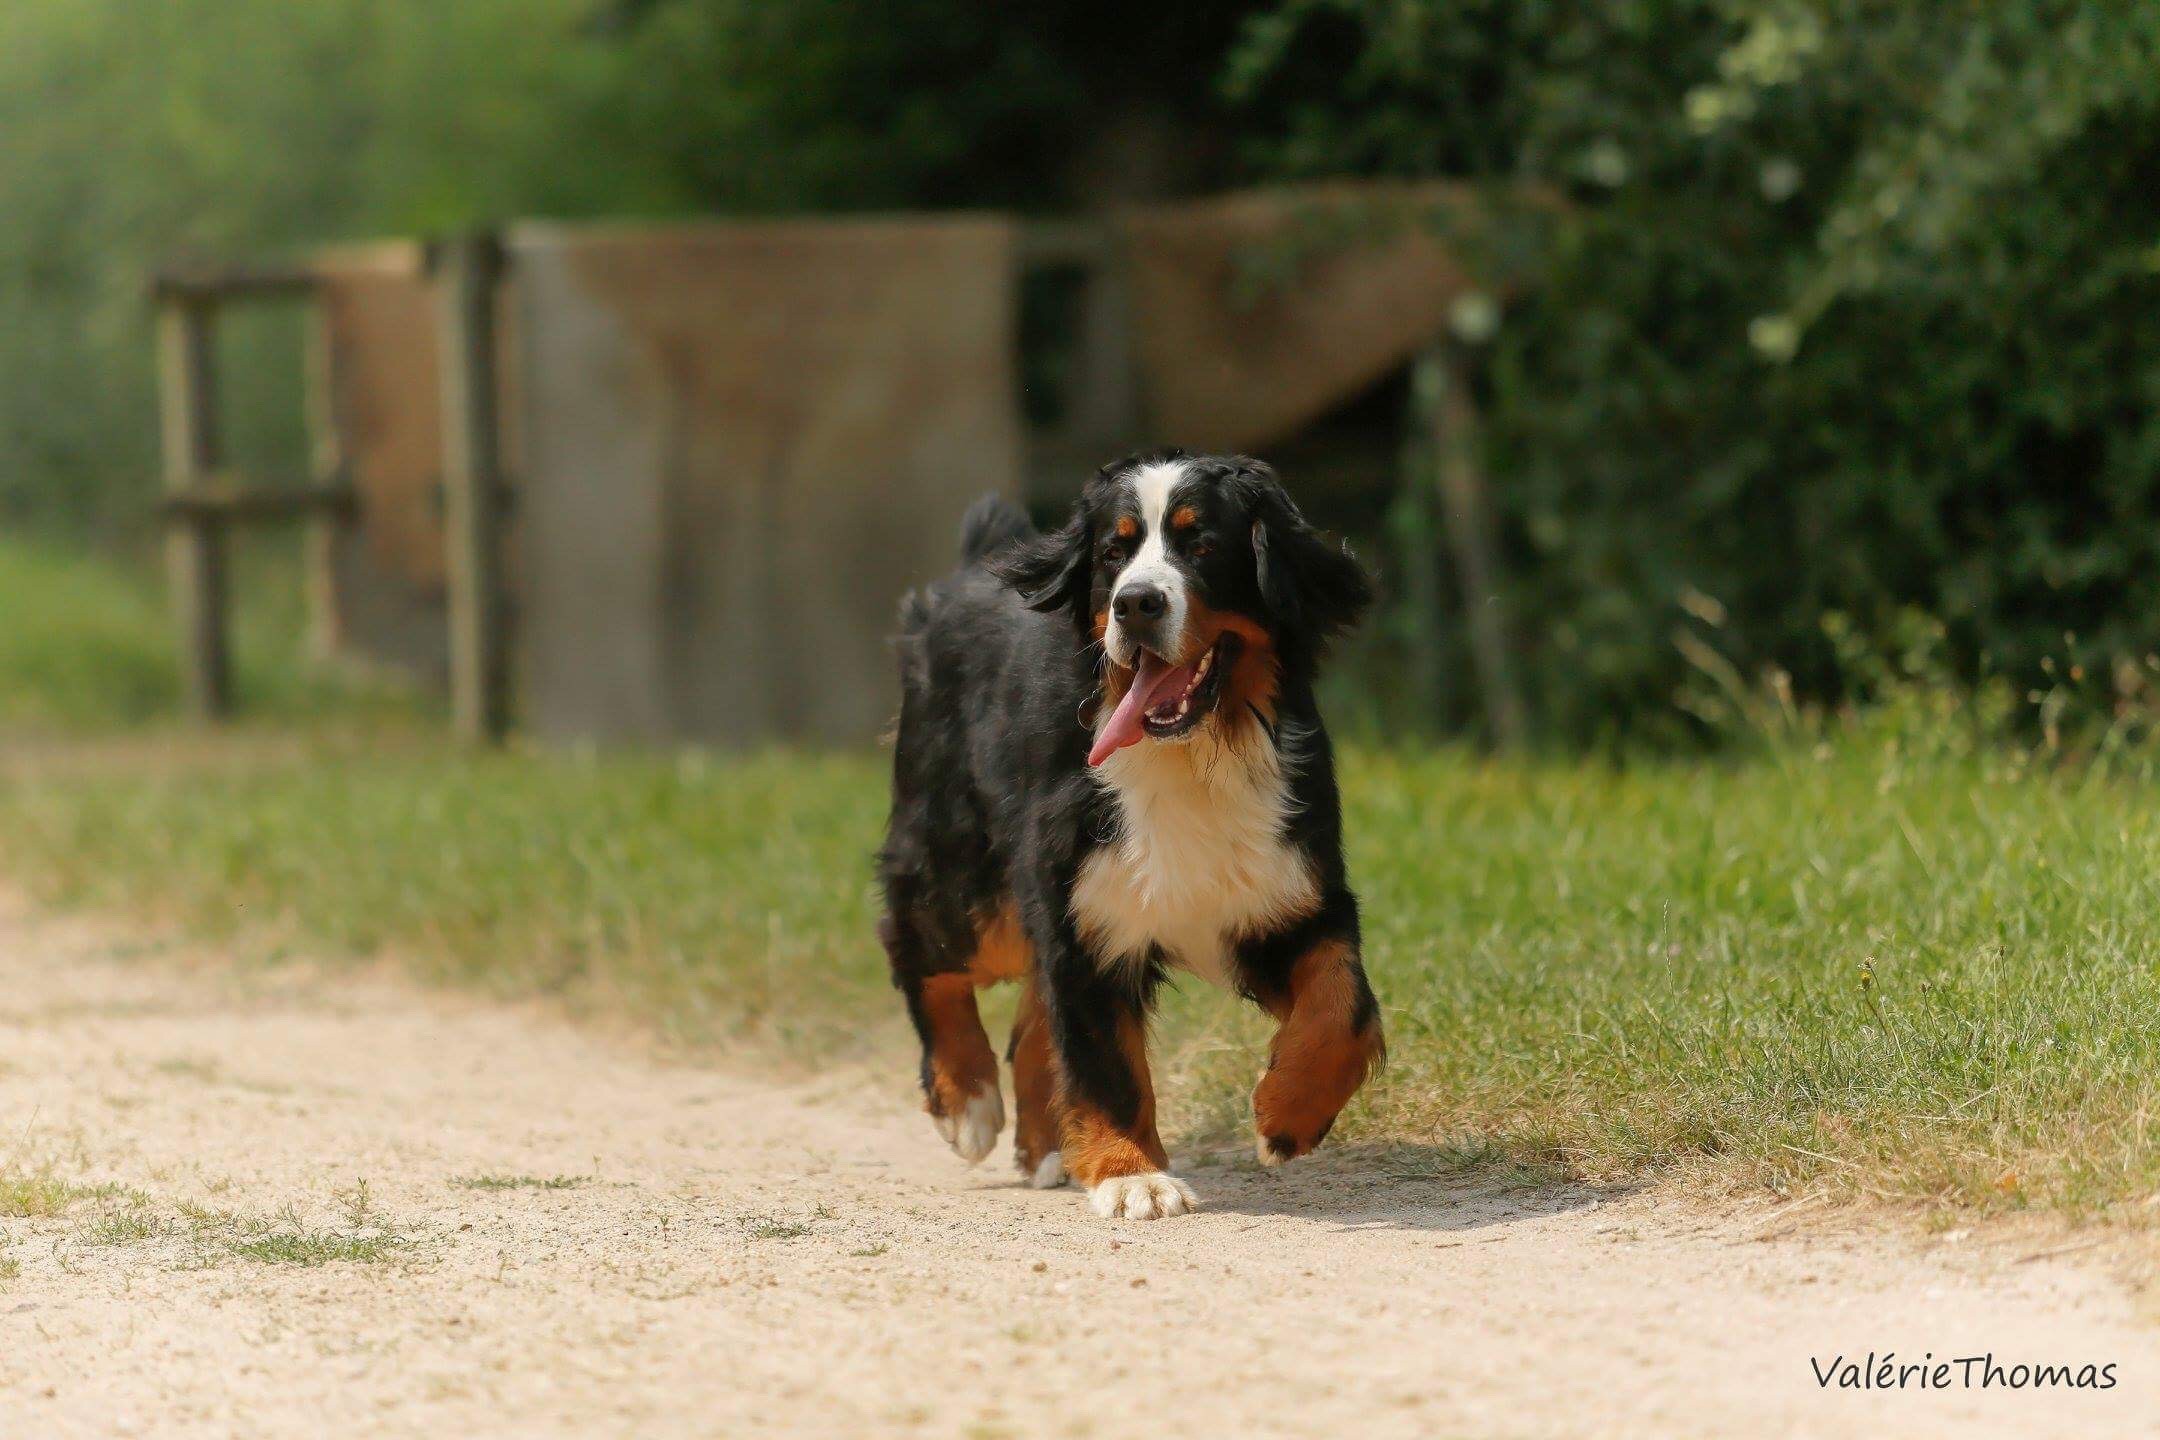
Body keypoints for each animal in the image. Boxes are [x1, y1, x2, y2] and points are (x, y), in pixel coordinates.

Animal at [876, 446, 1382, 1217]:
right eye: (1114, 553)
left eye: (1202, 543)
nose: (1136, 602)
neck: (1193, 754)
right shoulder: (1087, 908)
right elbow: (1104, 1060)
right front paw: (1130, 1175)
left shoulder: (1289, 893)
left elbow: (1343, 1006)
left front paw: (1286, 1116)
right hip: (967, 873)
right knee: (923, 950)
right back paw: (967, 1102)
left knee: (1030, 1017)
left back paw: (1046, 1147)